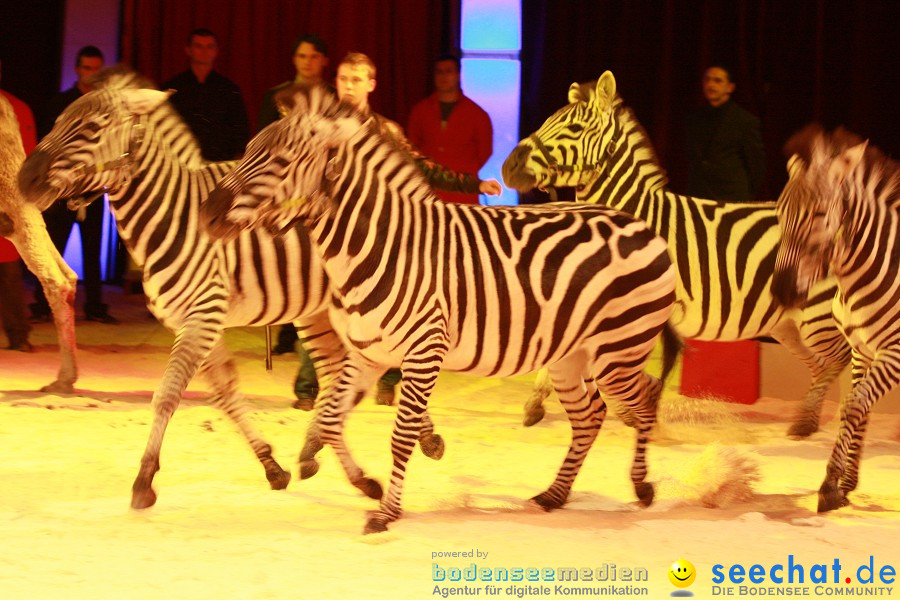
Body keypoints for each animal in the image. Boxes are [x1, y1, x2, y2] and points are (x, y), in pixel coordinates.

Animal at [15, 70, 444, 510]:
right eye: (58, 120)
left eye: (92, 127)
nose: (23, 179)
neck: (171, 214)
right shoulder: (192, 321)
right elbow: (226, 393)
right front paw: (272, 466)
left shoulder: (203, 313)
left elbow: (168, 394)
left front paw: (144, 480)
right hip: (318, 312)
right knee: (338, 374)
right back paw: (352, 466)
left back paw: (414, 437)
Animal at [199, 85, 676, 536]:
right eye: (247, 150)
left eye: (281, 160)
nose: (206, 212)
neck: (379, 243)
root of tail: (641, 224)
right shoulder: (368, 354)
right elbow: (332, 418)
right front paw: (340, 472)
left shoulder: (424, 351)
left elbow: (401, 436)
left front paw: (386, 513)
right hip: (570, 355)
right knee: (590, 415)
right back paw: (555, 494)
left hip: (617, 351)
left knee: (646, 396)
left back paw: (642, 486)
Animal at [506, 71, 852, 436]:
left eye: (573, 128)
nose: (507, 167)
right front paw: (536, 404)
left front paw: (636, 413)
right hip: (787, 324)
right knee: (823, 364)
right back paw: (810, 419)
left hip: (818, 314)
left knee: (842, 359)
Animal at [768, 125, 896, 510]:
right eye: (779, 213)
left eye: (820, 214)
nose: (782, 292)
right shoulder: (862, 350)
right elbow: (857, 409)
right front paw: (846, 483)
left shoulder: (893, 353)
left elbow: (854, 407)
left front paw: (829, 486)